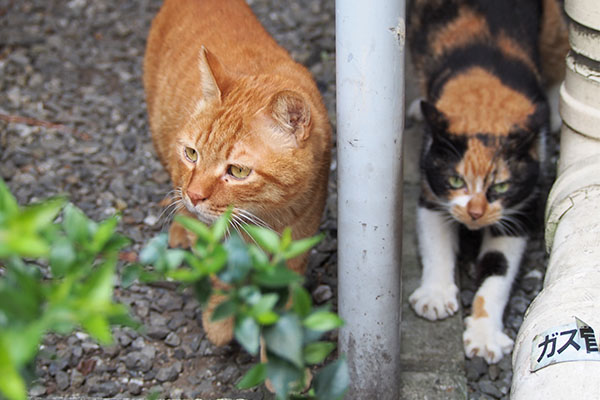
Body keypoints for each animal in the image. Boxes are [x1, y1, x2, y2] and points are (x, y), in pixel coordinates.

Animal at [144, 0, 332, 346]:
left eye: (238, 171)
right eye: (192, 153)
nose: (194, 195)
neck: (267, 217)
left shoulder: (297, 246)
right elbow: (220, 275)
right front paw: (221, 322)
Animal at [408, 0, 568, 364]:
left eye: (501, 188)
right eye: (456, 179)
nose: (476, 213)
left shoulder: (519, 212)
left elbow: (498, 273)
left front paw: (484, 338)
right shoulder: (431, 188)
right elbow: (436, 244)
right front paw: (435, 297)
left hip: (553, 24)